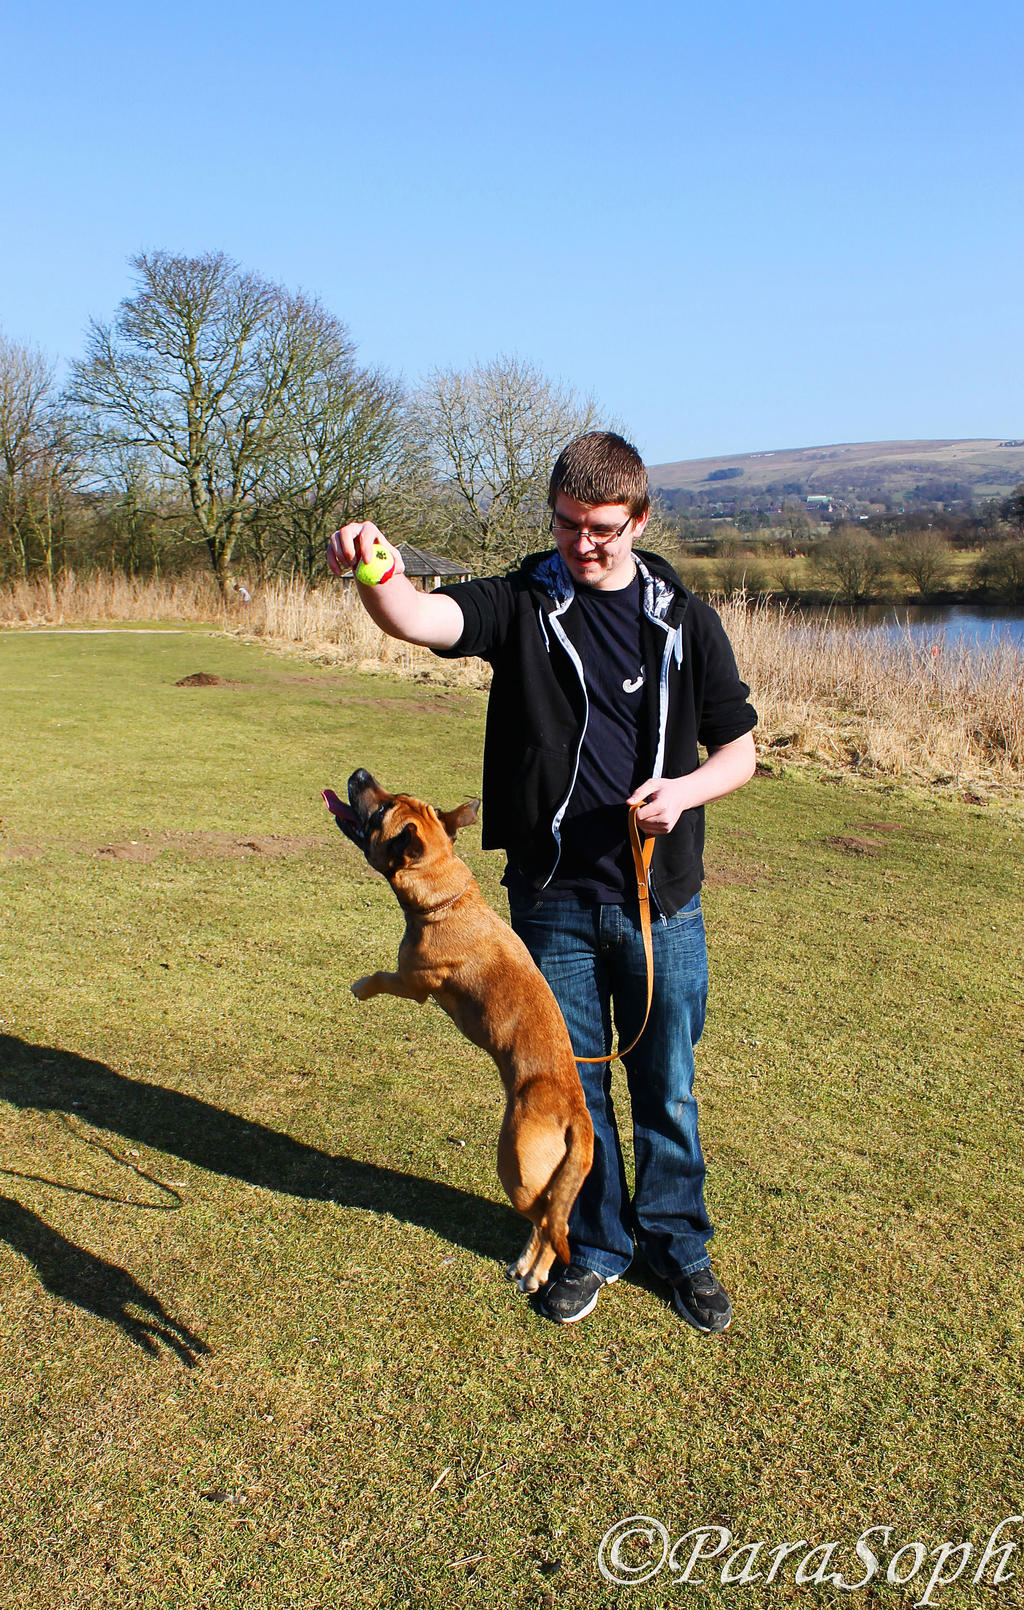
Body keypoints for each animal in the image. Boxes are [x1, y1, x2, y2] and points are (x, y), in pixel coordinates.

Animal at [323, 769, 595, 1294]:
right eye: (395, 795)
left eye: (382, 812)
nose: (361, 773)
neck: (447, 897)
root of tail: (576, 1114)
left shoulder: (412, 982)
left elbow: (383, 977)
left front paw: (361, 987)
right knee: (555, 1220)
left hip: (517, 1168)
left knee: (549, 1223)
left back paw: (534, 1271)